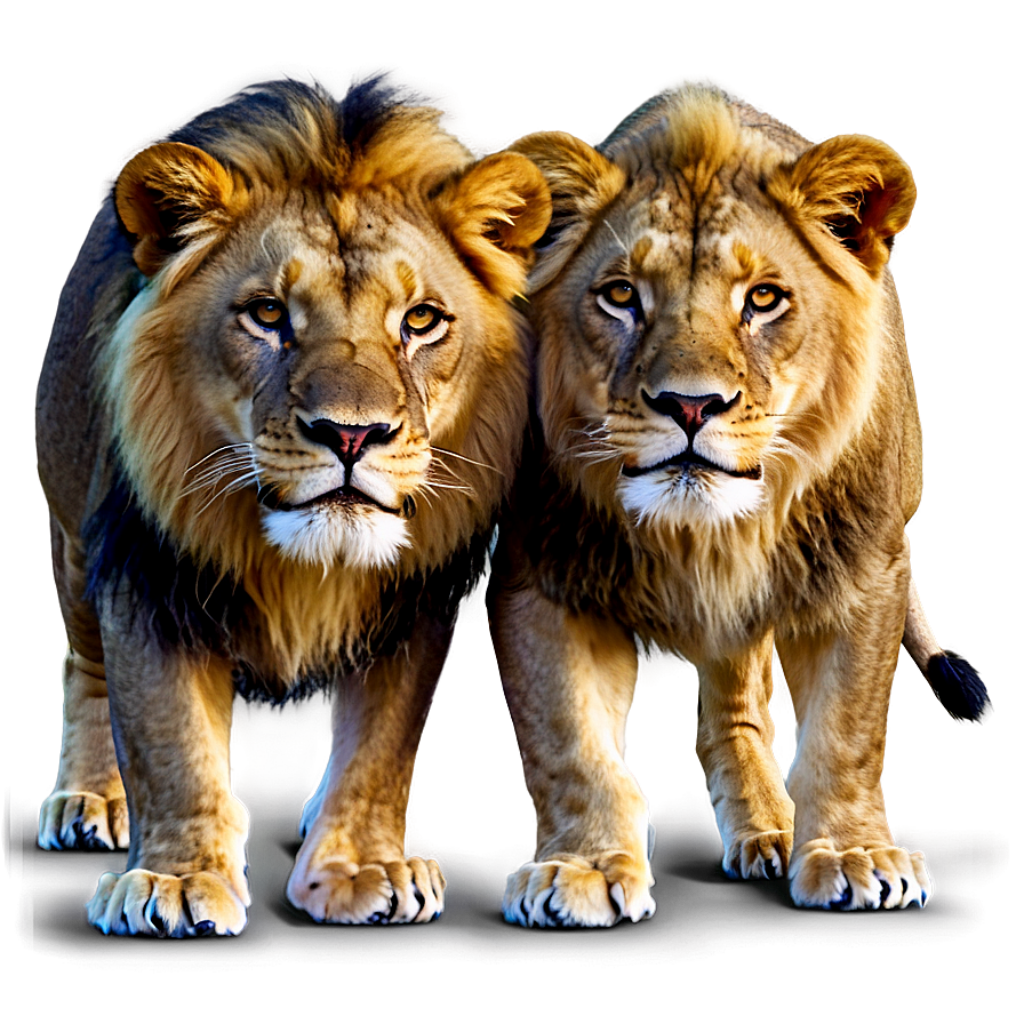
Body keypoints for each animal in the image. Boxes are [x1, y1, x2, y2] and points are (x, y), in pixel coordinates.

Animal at [35, 71, 550, 935]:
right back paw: (86, 798)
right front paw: (178, 881)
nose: (352, 434)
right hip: (72, 536)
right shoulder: (144, 571)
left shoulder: (416, 598)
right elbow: (168, 737)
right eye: (268, 314)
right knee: (85, 664)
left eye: (420, 320)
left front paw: (361, 868)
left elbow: (381, 744)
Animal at [488, 76, 992, 924]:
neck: (703, 536)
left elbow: (848, 729)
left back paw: (773, 830)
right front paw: (584, 868)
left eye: (763, 299)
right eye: (619, 296)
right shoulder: (541, 578)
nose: (691, 405)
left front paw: (853, 856)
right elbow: (569, 743)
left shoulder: (866, 570)